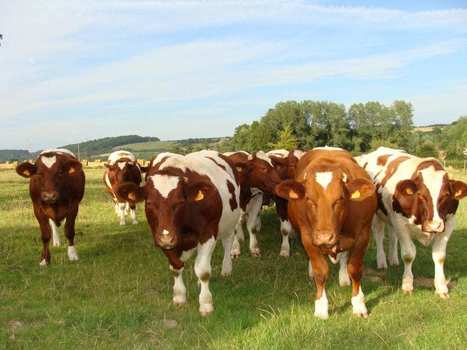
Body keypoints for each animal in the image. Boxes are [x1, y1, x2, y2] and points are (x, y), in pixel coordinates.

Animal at [115, 150, 243, 318]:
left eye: (180, 202)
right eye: (149, 203)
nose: (167, 237)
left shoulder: (208, 233)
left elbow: (203, 271)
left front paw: (206, 304)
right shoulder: (161, 237)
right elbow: (176, 267)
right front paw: (179, 296)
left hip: (230, 222)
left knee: (227, 243)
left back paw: (226, 269)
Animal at [276, 146, 378, 318]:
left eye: (340, 198)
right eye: (309, 199)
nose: (325, 237)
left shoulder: (363, 235)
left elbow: (355, 269)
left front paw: (359, 304)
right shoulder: (308, 237)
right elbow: (320, 272)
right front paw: (321, 307)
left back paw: (344, 277)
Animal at [356, 147, 466, 298]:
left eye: (446, 195)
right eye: (420, 195)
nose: (434, 225)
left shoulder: (448, 224)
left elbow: (439, 257)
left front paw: (442, 288)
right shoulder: (401, 223)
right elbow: (408, 255)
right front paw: (407, 285)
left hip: (391, 217)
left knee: (392, 235)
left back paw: (393, 259)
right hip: (377, 215)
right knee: (378, 234)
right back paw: (382, 261)